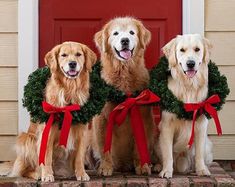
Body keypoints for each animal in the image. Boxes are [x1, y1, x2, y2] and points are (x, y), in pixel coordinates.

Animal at [8, 41, 96, 182]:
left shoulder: (82, 132)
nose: (72, 63)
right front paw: (47, 175)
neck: (69, 89)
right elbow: (46, 157)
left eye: (78, 54)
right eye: (63, 55)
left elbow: (79, 157)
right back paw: (37, 174)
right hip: (27, 139)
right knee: (24, 170)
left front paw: (82, 174)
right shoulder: (47, 132)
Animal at [92, 16, 154, 176]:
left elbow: (140, 145)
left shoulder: (142, 117)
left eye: (132, 32)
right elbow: (104, 146)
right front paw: (105, 167)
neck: (124, 71)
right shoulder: (102, 118)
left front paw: (143, 166)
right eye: (115, 33)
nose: (125, 40)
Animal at [157, 34, 214, 179]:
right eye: (182, 50)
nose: (190, 63)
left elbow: (199, 153)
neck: (189, 85)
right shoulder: (167, 125)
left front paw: (201, 170)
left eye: (197, 49)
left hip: (208, 147)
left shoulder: (201, 124)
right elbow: (168, 153)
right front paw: (166, 171)